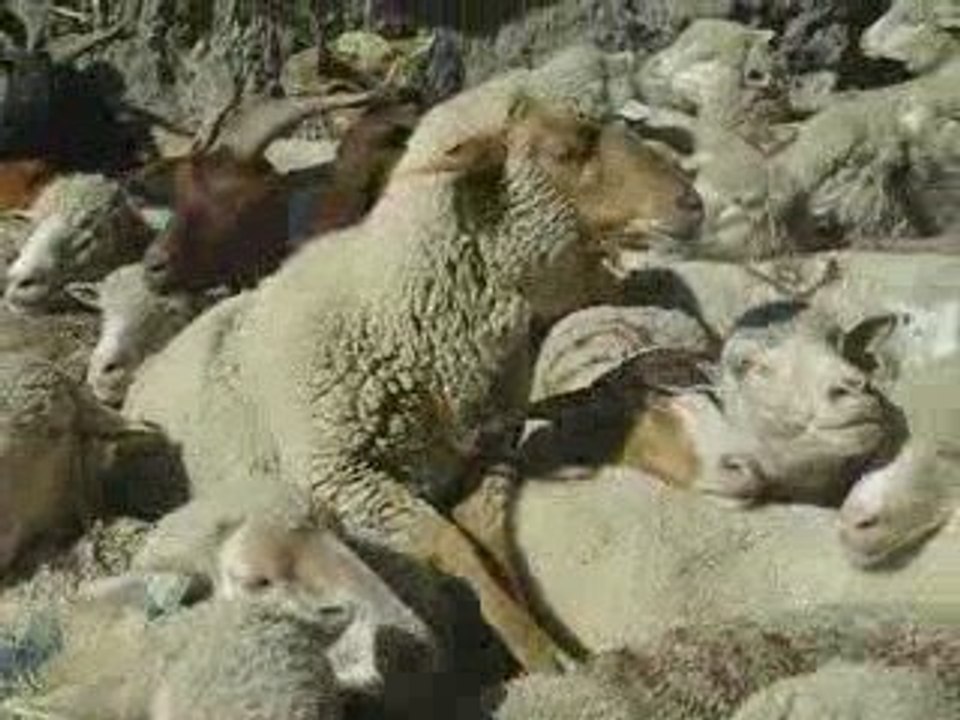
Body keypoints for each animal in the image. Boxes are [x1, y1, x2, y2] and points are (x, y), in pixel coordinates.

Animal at [122, 86, 704, 672]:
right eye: (564, 151)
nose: (692, 203)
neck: (398, 311)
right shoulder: (351, 480)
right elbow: (460, 554)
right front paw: (543, 659)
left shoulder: (485, 459)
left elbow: (497, 551)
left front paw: (550, 644)